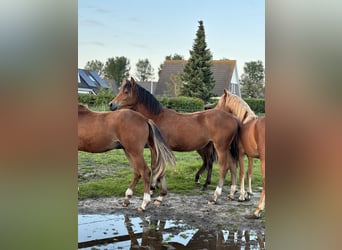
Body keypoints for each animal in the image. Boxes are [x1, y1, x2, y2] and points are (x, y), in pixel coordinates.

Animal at [109, 77, 240, 203]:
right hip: (221, 148)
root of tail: (233, 118)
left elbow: (157, 166)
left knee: (223, 167)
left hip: (220, 148)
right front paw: (153, 187)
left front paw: (154, 189)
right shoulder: (154, 148)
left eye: (126, 92)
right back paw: (231, 193)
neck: (157, 117)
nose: (111, 104)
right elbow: (154, 166)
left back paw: (215, 196)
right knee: (231, 165)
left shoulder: (158, 149)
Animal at [216, 89, 264, 217]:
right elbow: (249, 173)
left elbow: (242, 172)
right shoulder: (251, 156)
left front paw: (242, 196)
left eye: (220, 103)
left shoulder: (241, 154)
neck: (244, 122)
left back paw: (258, 210)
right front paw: (248, 193)